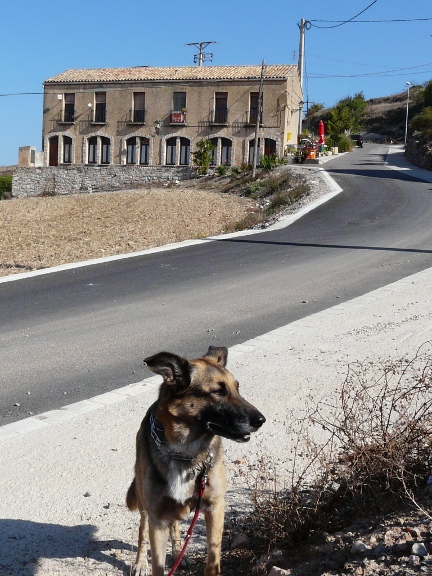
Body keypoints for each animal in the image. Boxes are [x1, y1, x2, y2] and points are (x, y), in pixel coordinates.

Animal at [126, 346, 264, 576]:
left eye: (237, 388)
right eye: (217, 391)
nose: (261, 420)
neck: (184, 452)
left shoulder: (215, 507)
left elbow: (213, 561)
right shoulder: (157, 519)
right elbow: (157, 566)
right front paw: (147, 563)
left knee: (174, 526)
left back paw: (179, 554)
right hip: (147, 507)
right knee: (143, 529)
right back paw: (141, 562)